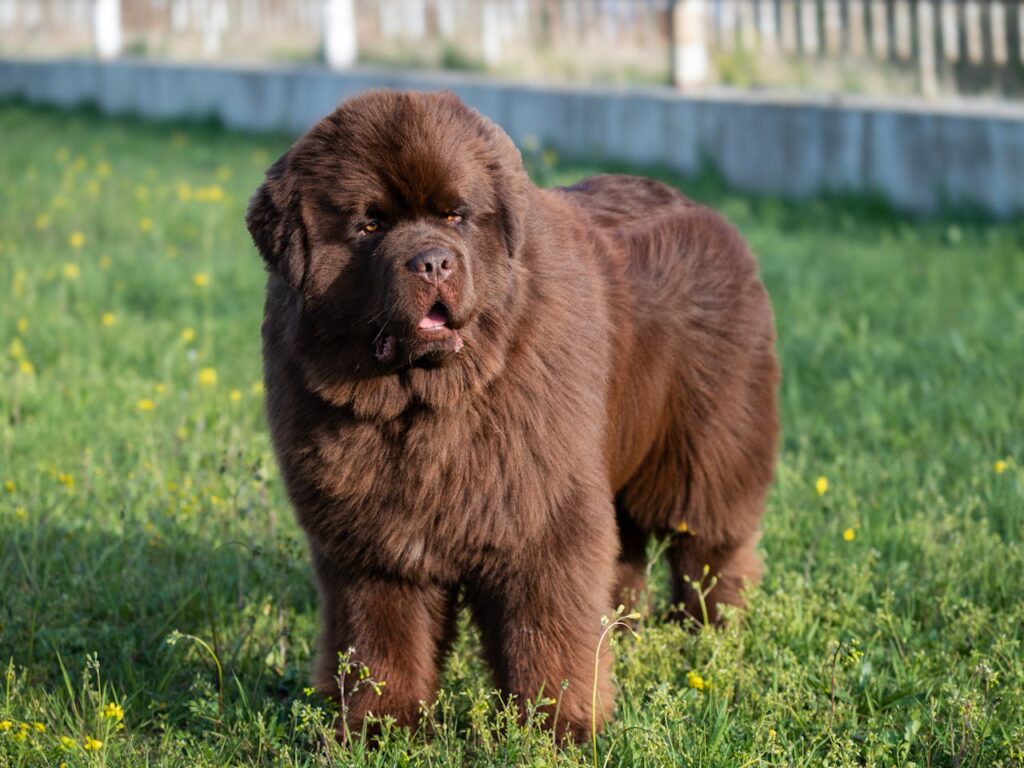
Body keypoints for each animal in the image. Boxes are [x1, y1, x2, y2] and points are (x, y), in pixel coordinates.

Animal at [245, 90, 774, 745]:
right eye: (370, 224)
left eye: (456, 216)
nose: (433, 263)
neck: (425, 405)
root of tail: (705, 210)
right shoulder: (373, 540)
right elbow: (377, 636)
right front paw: (380, 727)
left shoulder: (541, 515)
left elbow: (547, 624)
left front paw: (559, 728)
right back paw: (624, 631)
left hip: (707, 444)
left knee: (709, 538)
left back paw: (710, 629)